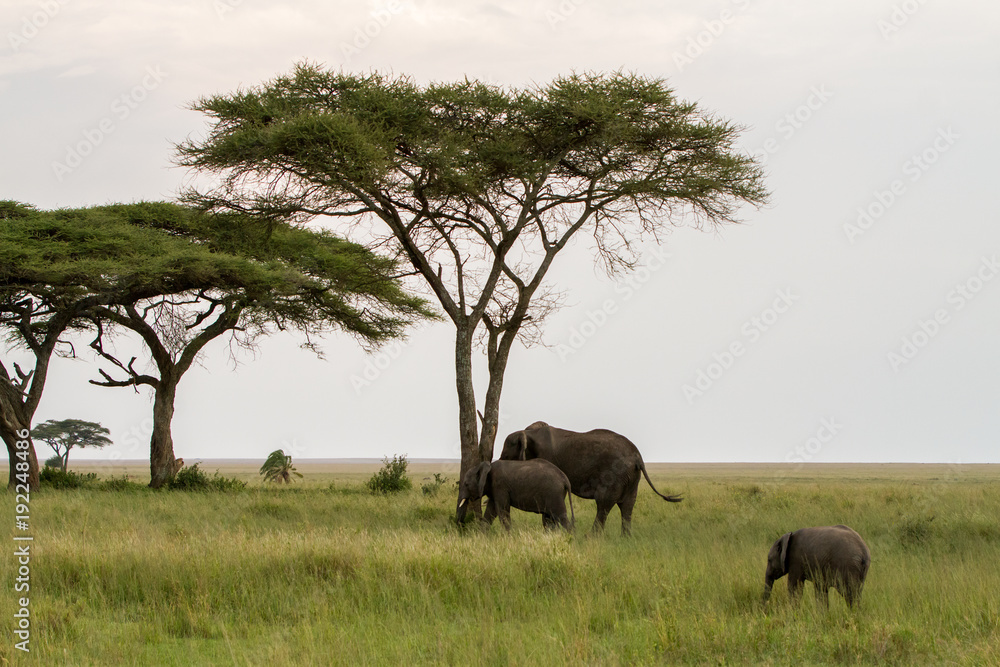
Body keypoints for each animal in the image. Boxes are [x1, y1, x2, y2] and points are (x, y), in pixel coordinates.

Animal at [498, 421, 682, 535]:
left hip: (615, 475)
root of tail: (638, 458)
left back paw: (591, 537)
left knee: (604, 503)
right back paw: (625, 538)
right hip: (632, 478)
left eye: (506, 455)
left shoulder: (547, 458)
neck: (528, 433)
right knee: (627, 506)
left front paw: (550, 534)